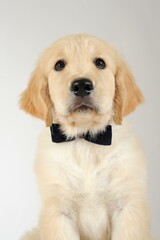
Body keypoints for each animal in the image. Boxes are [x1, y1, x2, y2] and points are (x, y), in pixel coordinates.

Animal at [19, 33, 151, 240]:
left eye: (100, 63)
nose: (81, 85)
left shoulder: (128, 206)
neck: (85, 140)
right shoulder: (58, 212)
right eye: (59, 65)